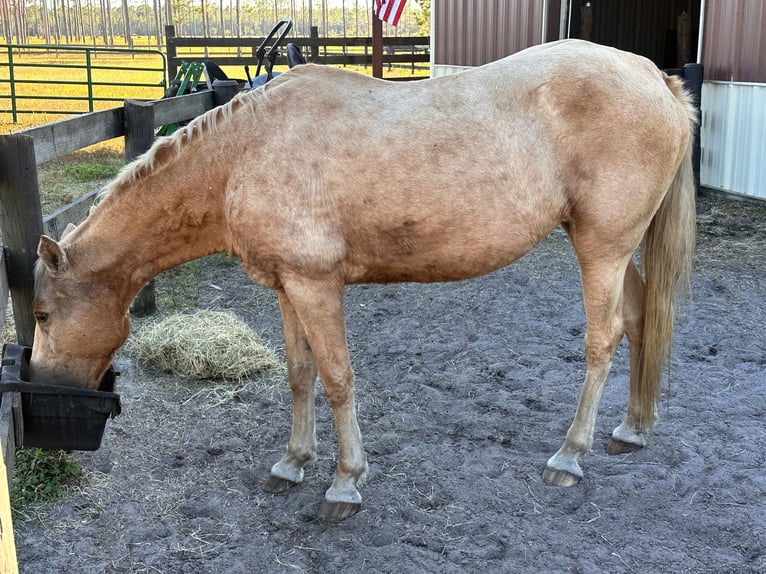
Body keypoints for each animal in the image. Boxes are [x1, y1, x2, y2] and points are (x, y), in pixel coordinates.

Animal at [30, 39, 696, 523]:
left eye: (40, 314)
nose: (39, 388)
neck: (243, 156)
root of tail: (653, 76)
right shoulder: (287, 286)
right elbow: (300, 374)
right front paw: (293, 462)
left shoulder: (317, 284)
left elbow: (337, 377)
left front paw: (345, 483)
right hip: (616, 249)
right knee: (639, 319)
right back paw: (632, 430)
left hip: (602, 248)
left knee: (603, 339)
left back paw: (570, 455)